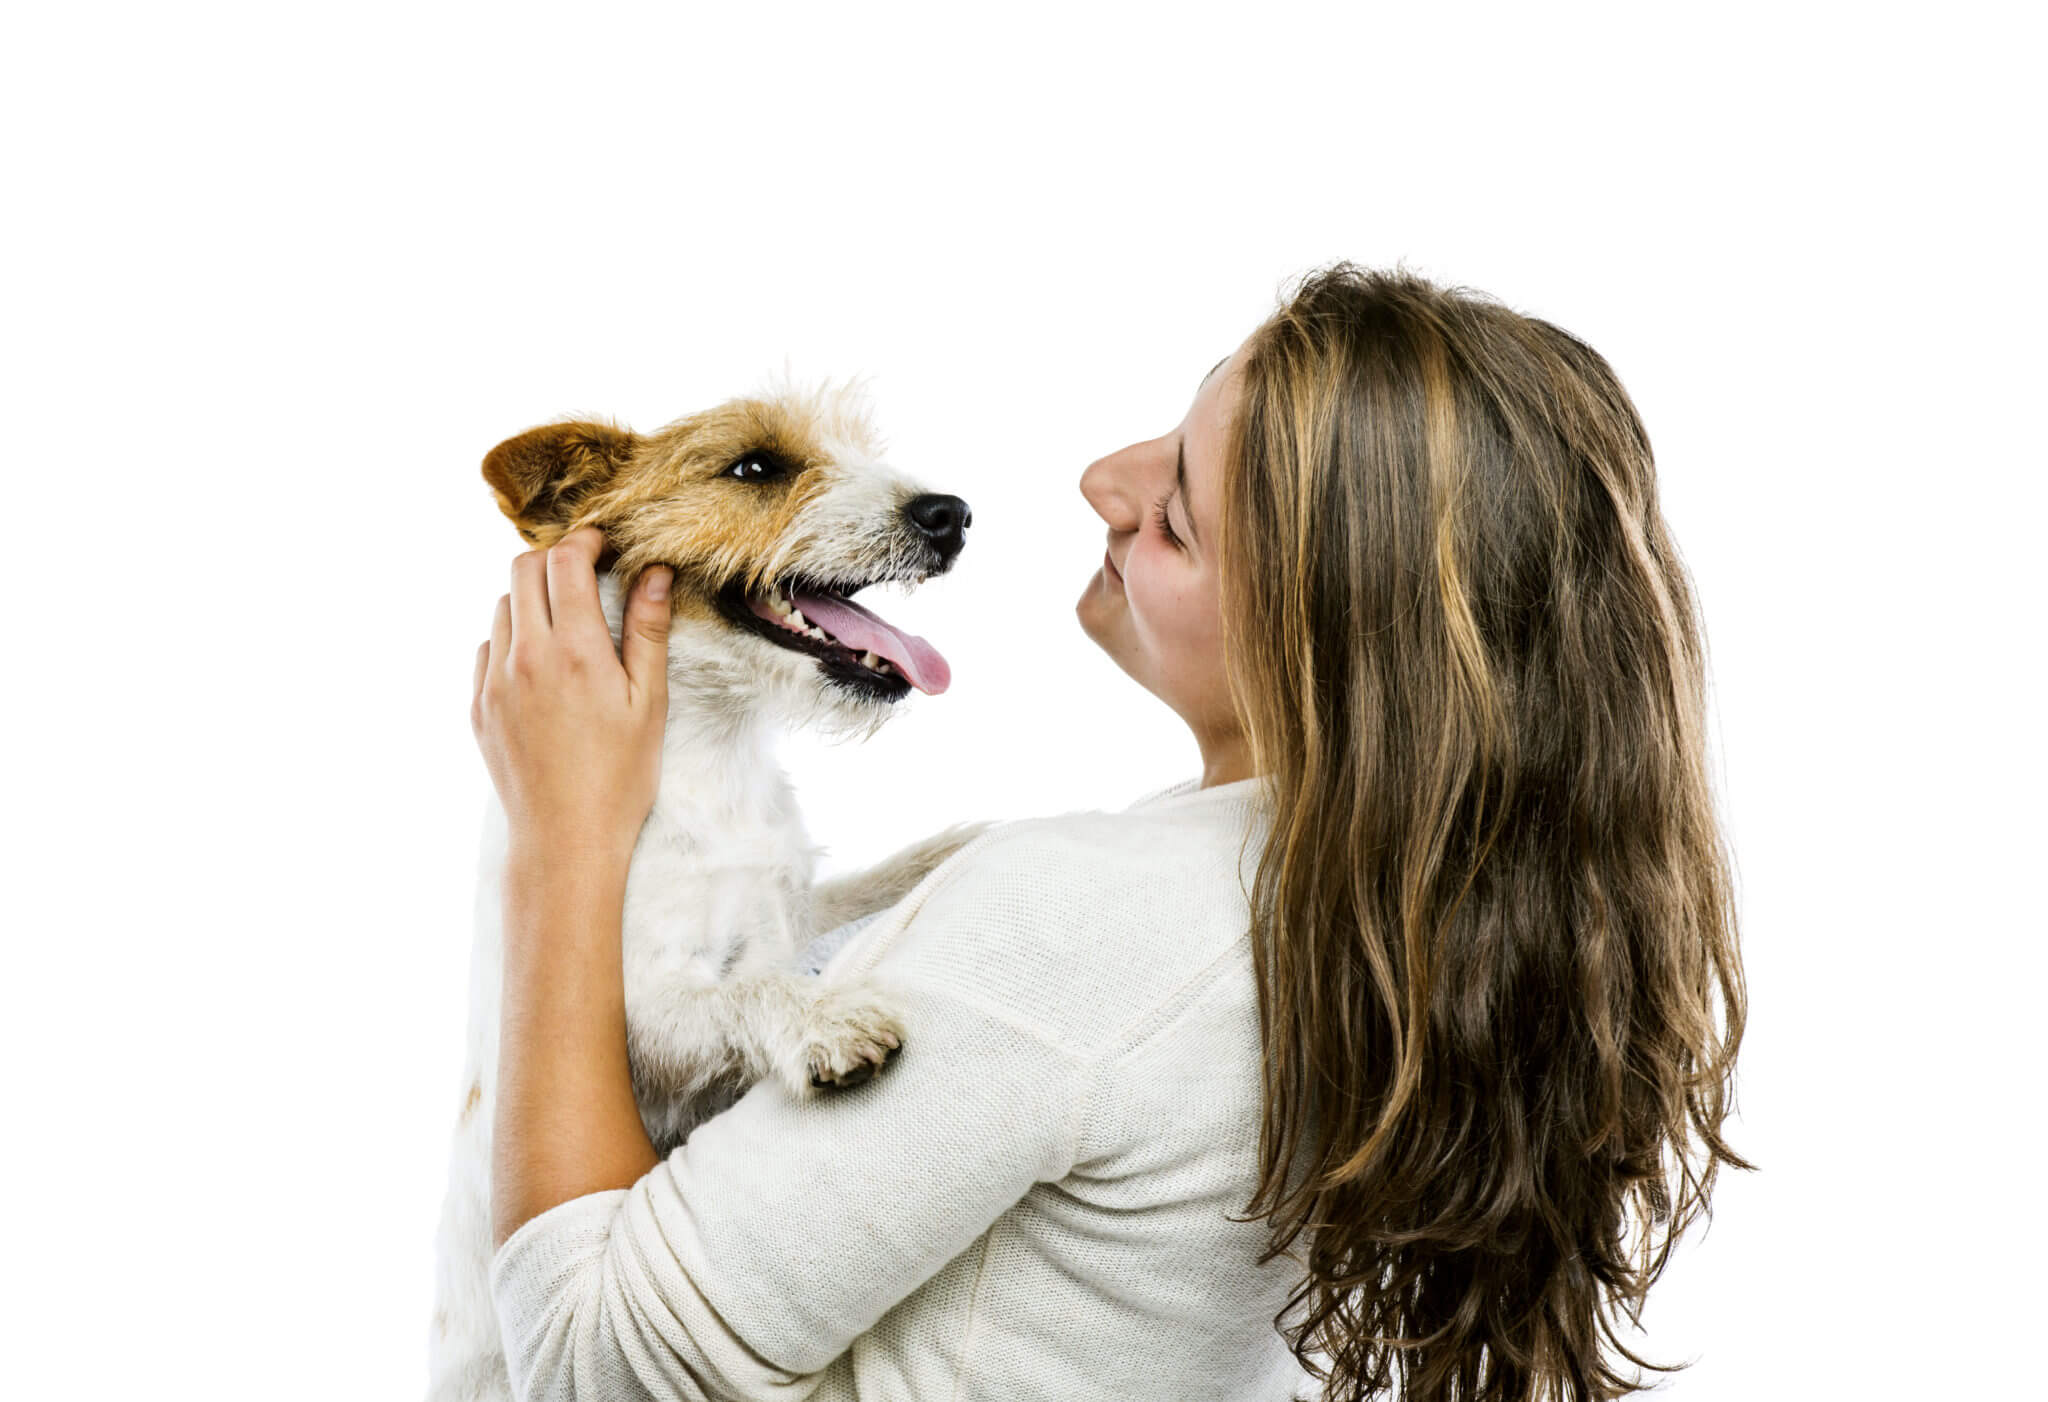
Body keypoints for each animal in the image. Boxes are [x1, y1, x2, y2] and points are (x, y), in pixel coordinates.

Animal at [430, 372, 991, 1399]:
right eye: (756, 467)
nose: (951, 514)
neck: (712, 750)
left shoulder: (794, 902)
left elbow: (867, 883)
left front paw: (970, 840)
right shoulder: (637, 1012)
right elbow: (749, 988)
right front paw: (826, 1022)